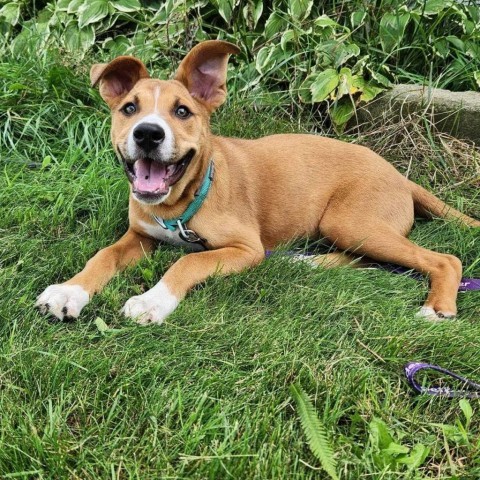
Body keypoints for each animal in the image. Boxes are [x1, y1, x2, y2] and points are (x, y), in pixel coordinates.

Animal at [36, 41, 480, 324]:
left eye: (182, 111)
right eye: (129, 108)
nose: (147, 134)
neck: (181, 205)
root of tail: (400, 176)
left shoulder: (245, 248)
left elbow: (187, 261)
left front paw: (151, 302)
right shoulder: (140, 234)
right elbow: (104, 256)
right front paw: (68, 292)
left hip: (351, 221)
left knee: (443, 258)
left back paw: (437, 308)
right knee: (365, 259)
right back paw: (305, 261)